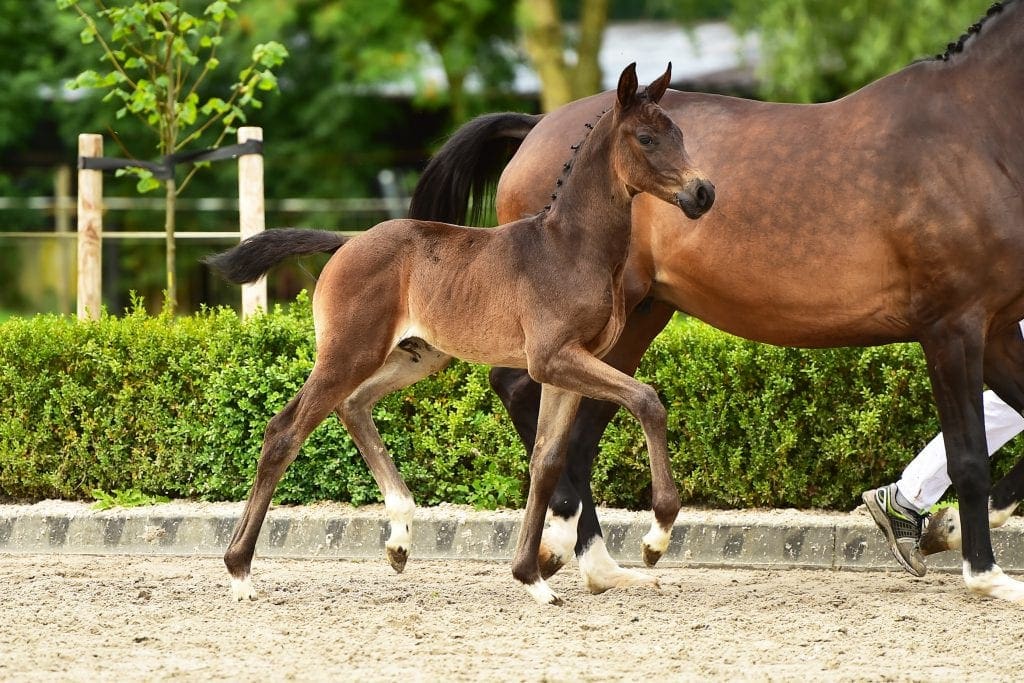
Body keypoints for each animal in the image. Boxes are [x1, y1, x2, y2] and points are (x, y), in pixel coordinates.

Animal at [204, 63, 715, 606]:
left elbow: (546, 460)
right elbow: (646, 400)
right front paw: (656, 536)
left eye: (680, 135)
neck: (571, 247)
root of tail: (346, 243)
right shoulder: (553, 358)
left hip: (417, 355)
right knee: (286, 431)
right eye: (646, 137)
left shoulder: (566, 366)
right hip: (348, 353)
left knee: (353, 406)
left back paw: (400, 537)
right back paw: (240, 571)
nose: (703, 193)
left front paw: (530, 576)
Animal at [408, 2, 1024, 603]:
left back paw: (594, 560)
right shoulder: (951, 327)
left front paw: (946, 531)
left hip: (633, 320)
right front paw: (985, 572)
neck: (975, 134)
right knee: (525, 393)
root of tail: (538, 128)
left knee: (581, 427)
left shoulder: (995, 329)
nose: (702, 193)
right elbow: (970, 453)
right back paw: (569, 540)